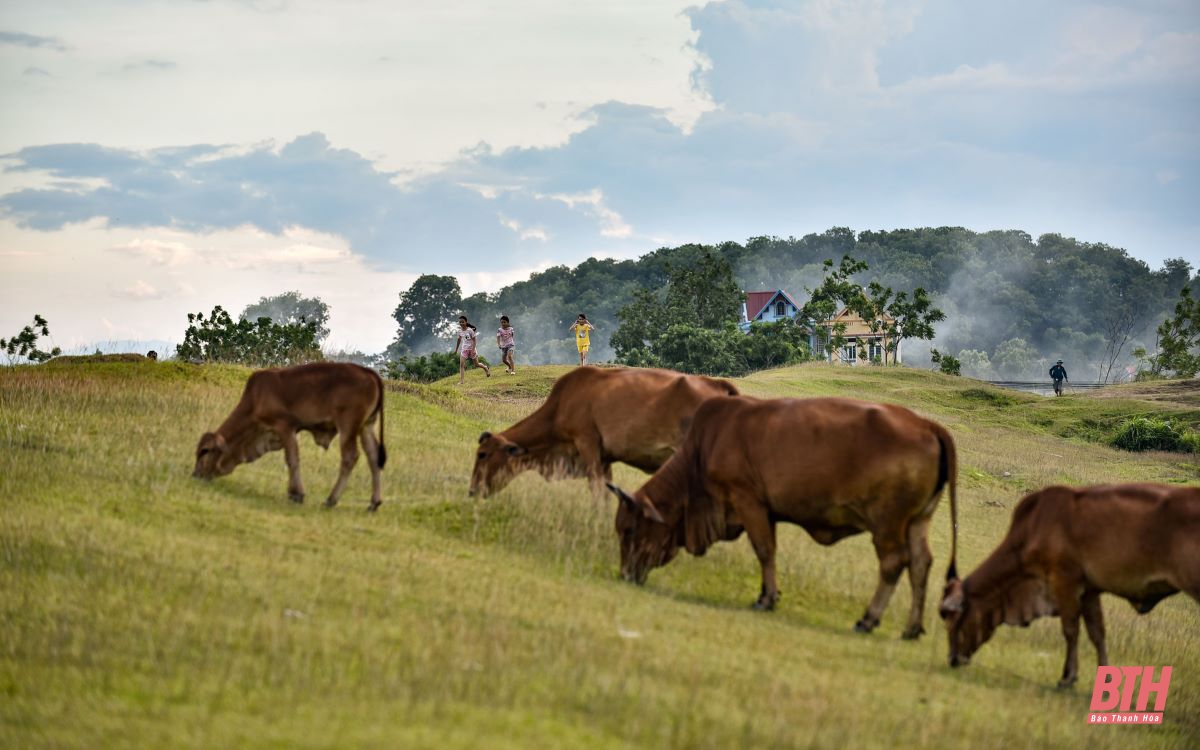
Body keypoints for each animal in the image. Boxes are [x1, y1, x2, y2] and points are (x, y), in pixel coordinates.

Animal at [194, 362, 386, 511]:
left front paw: (296, 494)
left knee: (350, 457)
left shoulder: (285, 427)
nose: (195, 475)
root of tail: (369, 372)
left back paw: (331, 500)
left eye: (205, 451)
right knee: (373, 457)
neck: (255, 400)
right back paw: (373, 503)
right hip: (367, 426)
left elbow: (292, 460)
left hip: (348, 425)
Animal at [470, 364, 739, 496]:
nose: (472, 491)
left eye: (482, 455)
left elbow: (597, 491)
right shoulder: (605, 457)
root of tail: (719, 385)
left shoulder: (586, 444)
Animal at [604, 391, 960, 638]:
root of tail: (926, 425)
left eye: (630, 530)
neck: (702, 451)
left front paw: (767, 599)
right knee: (920, 564)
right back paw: (911, 628)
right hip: (917, 521)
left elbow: (764, 551)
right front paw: (767, 593)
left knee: (893, 563)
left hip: (887, 523)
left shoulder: (748, 501)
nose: (625, 574)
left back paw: (868, 618)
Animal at [940, 482, 1195, 686]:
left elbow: (1071, 631)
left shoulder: (1065, 583)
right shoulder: (1090, 591)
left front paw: (1067, 677)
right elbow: (1097, 633)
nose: (952, 659)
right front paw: (1106, 679)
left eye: (951, 617)